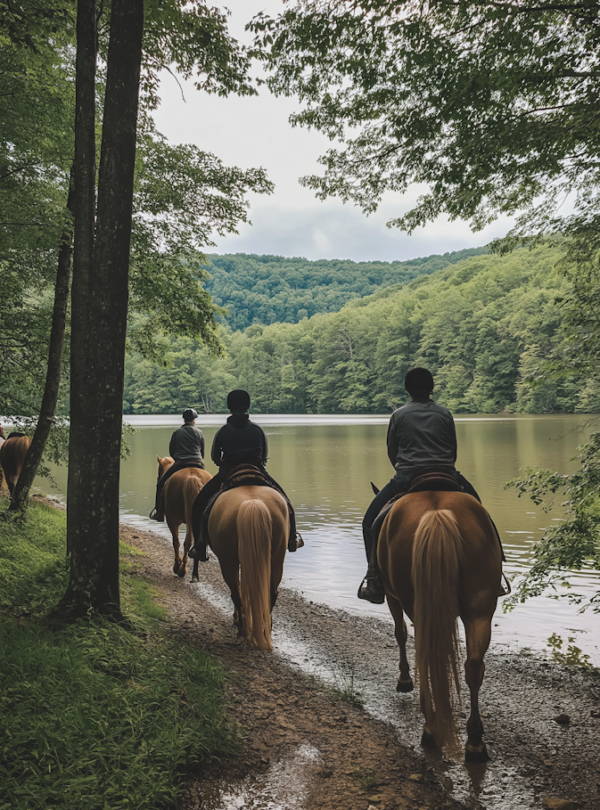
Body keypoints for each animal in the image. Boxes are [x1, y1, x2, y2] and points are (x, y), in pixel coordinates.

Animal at [207, 486, 289, 651]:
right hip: (277, 561)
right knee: (271, 594)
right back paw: (263, 629)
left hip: (228, 563)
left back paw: (242, 629)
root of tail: (253, 503)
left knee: (236, 595)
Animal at [377, 490, 501, 762]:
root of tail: (436, 512)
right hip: (480, 611)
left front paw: (404, 678)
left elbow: (400, 633)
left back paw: (431, 729)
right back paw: (475, 742)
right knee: (473, 666)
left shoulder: (392, 596)